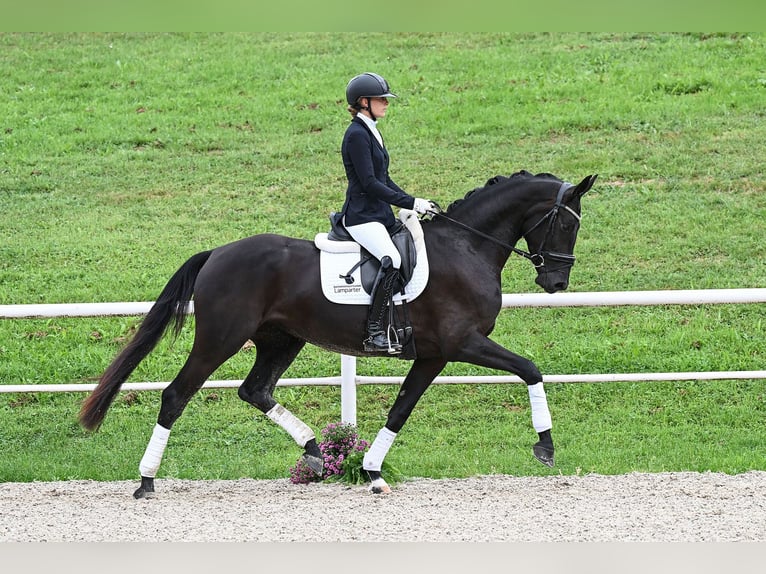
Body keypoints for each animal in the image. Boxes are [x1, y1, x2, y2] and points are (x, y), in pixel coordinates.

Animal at [82, 171, 600, 500]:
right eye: (565, 222)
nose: (556, 282)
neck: (466, 246)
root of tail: (217, 253)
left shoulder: (433, 355)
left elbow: (400, 410)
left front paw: (372, 472)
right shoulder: (463, 343)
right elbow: (530, 369)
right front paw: (545, 446)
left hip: (281, 339)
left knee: (256, 390)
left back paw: (314, 454)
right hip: (221, 339)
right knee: (176, 395)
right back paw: (146, 481)